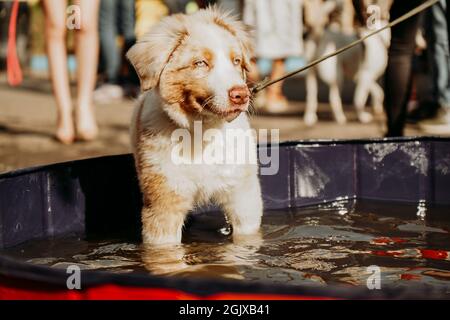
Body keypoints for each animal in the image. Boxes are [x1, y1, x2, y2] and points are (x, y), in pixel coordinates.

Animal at [125, 8, 264, 245]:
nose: (241, 95)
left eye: (236, 61)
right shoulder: (164, 201)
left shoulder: (243, 197)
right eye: (200, 63)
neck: (202, 131)